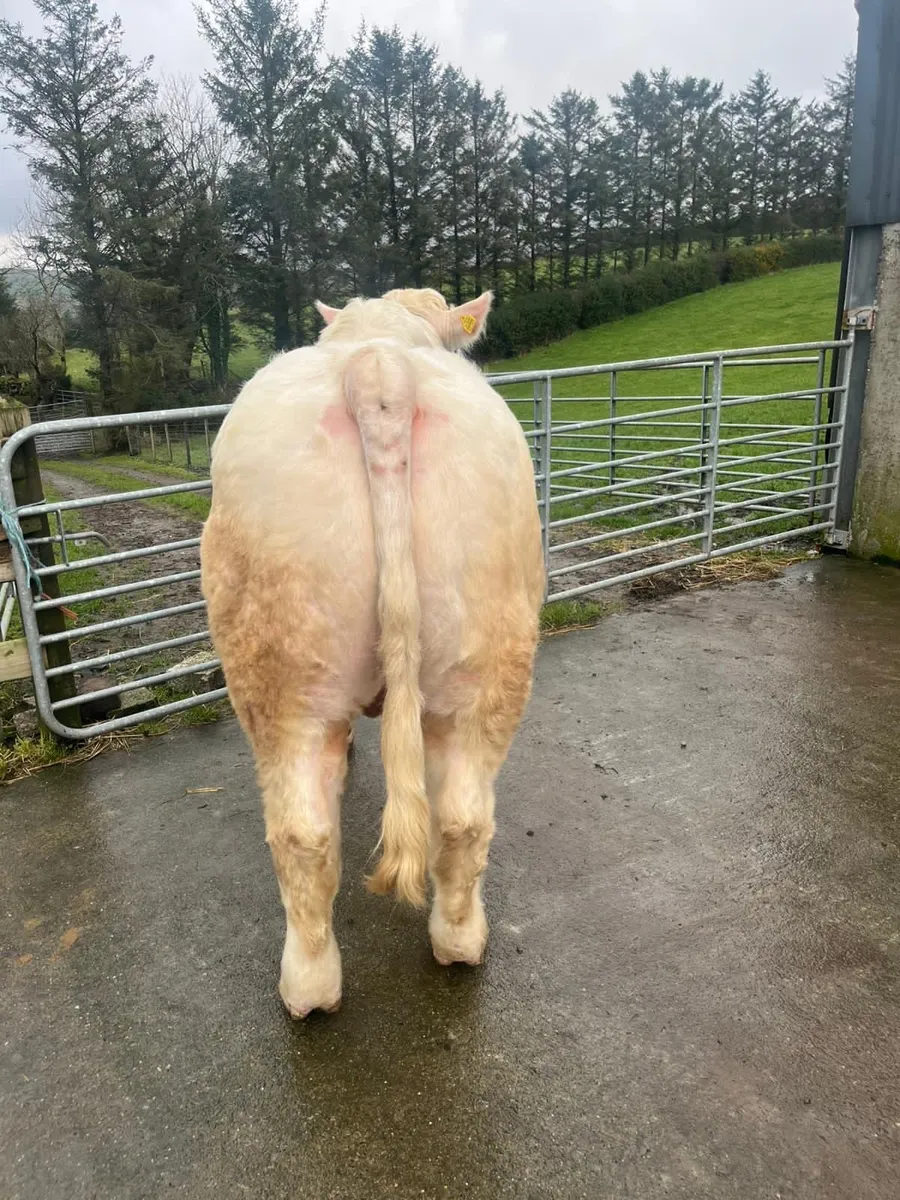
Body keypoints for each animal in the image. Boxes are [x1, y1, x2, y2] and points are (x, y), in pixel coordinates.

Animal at [200, 287, 544, 1018]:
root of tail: (380, 371)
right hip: (487, 643)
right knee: (461, 816)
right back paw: (457, 942)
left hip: (277, 660)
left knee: (301, 829)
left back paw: (307, 986)